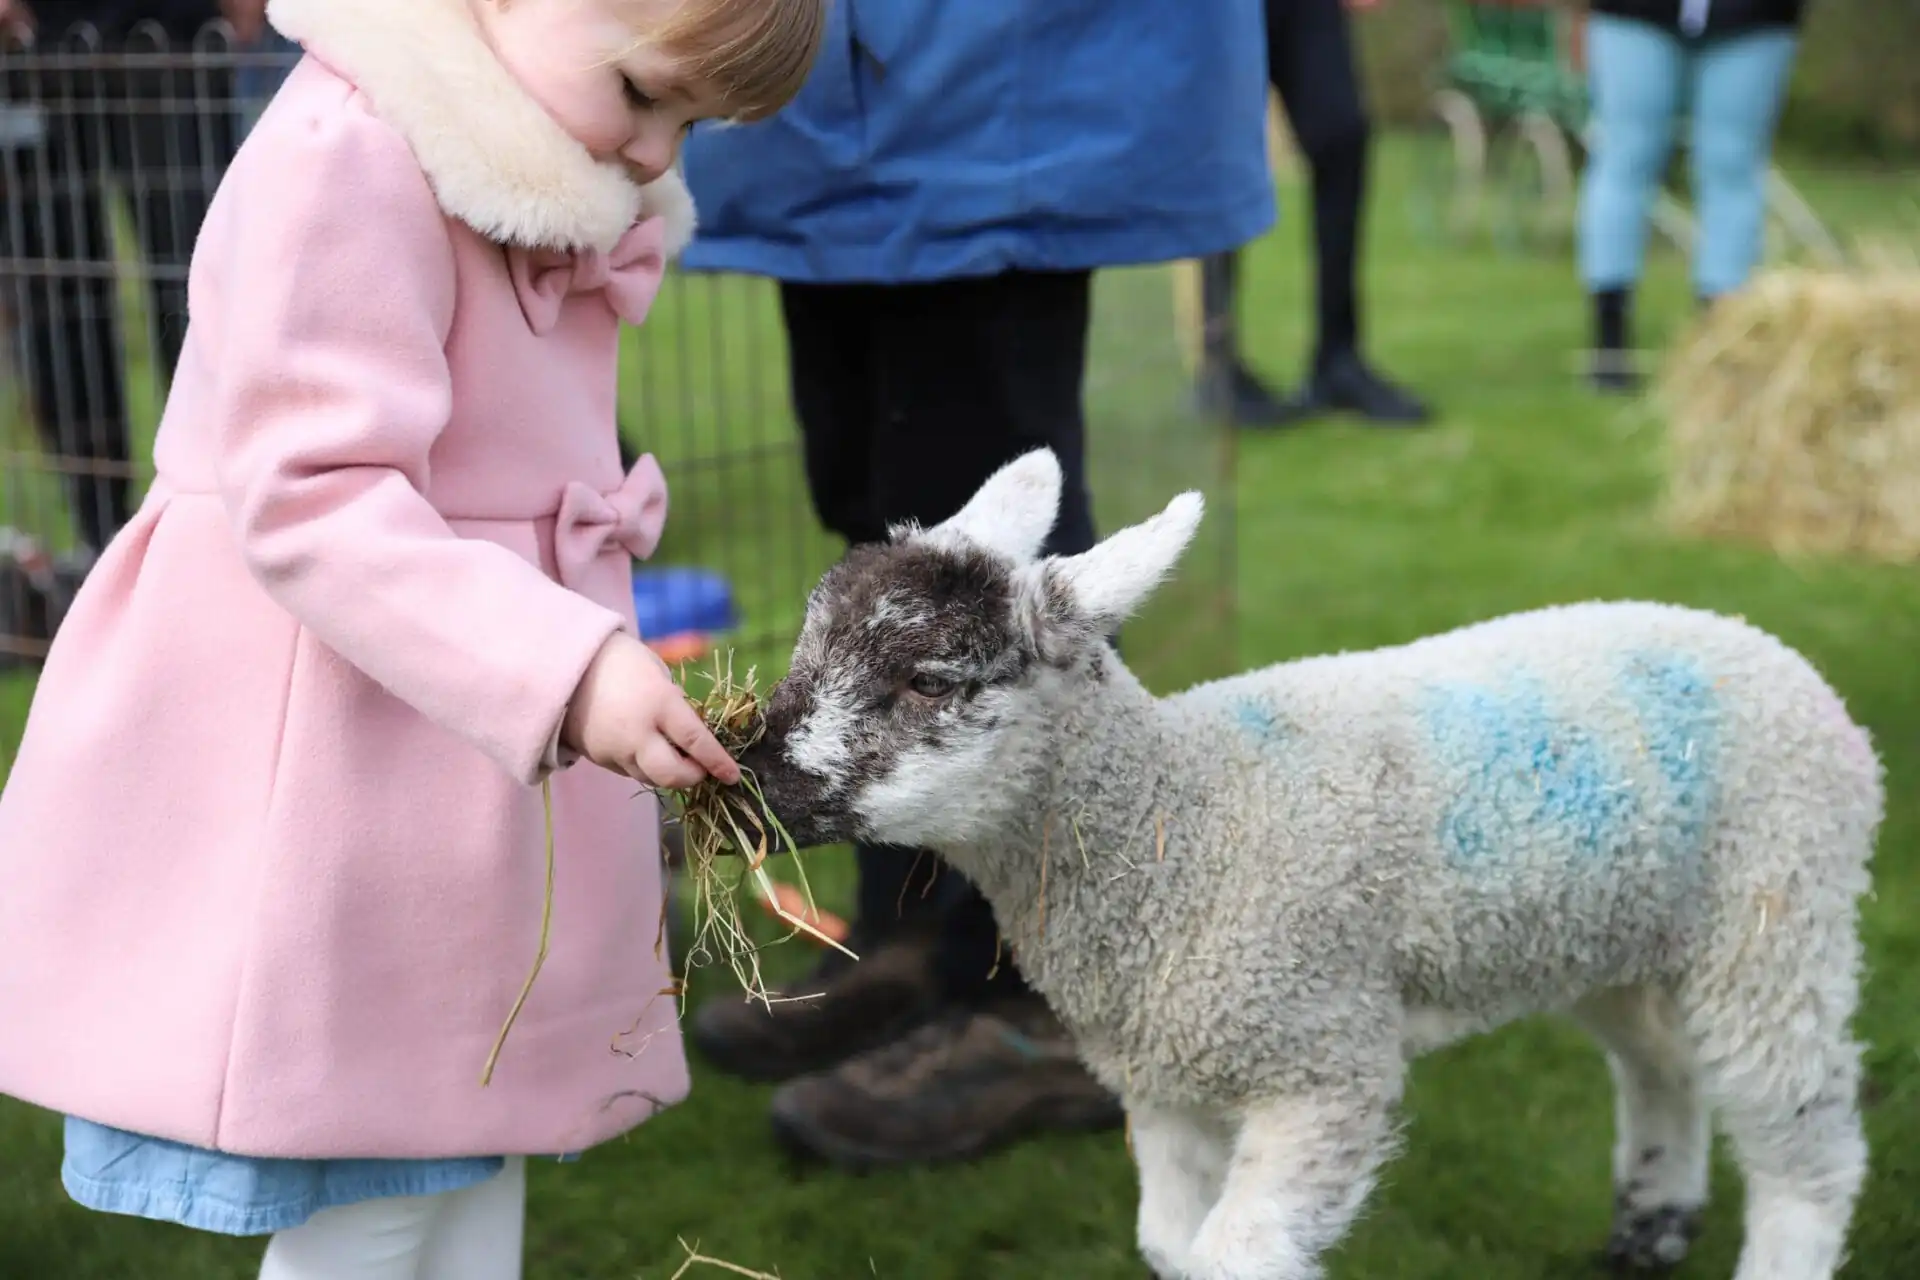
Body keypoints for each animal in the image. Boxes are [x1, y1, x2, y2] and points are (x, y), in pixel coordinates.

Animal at [737, 449, 1882, 1280]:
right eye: (809, 644)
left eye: (931, 679)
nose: (748, 779)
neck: (1180, 825)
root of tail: (1773, 651)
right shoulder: (1164, 1077)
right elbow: (1172, 1249)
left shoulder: (1321, 1060)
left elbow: (1230, 1257)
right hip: (1609, 922)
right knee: (1661, 1062)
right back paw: (1651, 1222)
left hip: (1777, 909)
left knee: (1808, 1146)